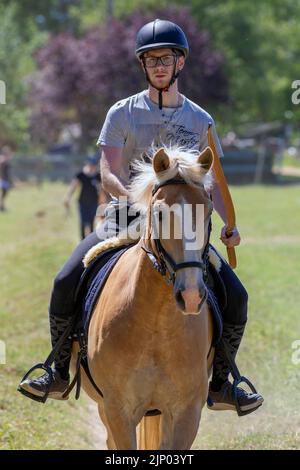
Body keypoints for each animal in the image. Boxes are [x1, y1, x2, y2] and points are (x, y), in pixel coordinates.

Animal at [74, 146, 217, 448]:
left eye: (208, 211)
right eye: (160, 213)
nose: (190, 294)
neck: (156, 322)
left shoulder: (186, 412)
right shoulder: (117, 409)